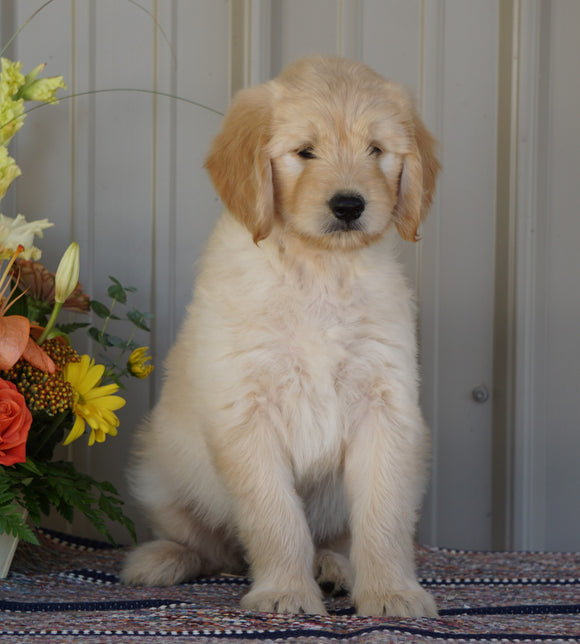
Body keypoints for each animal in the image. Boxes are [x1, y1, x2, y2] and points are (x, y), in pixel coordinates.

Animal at [122, 52, 440, 616]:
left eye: (376, 150)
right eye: (305, 151)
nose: (349, 206)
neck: (319, 269)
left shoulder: (386, 406)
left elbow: (384, 515)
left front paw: (392, 592)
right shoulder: (246, 410)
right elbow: (275, 515)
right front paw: (285, 592)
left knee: (333, 538)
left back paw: (335, 568)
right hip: (161, 468)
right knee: (209, 545)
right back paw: (163, 558)